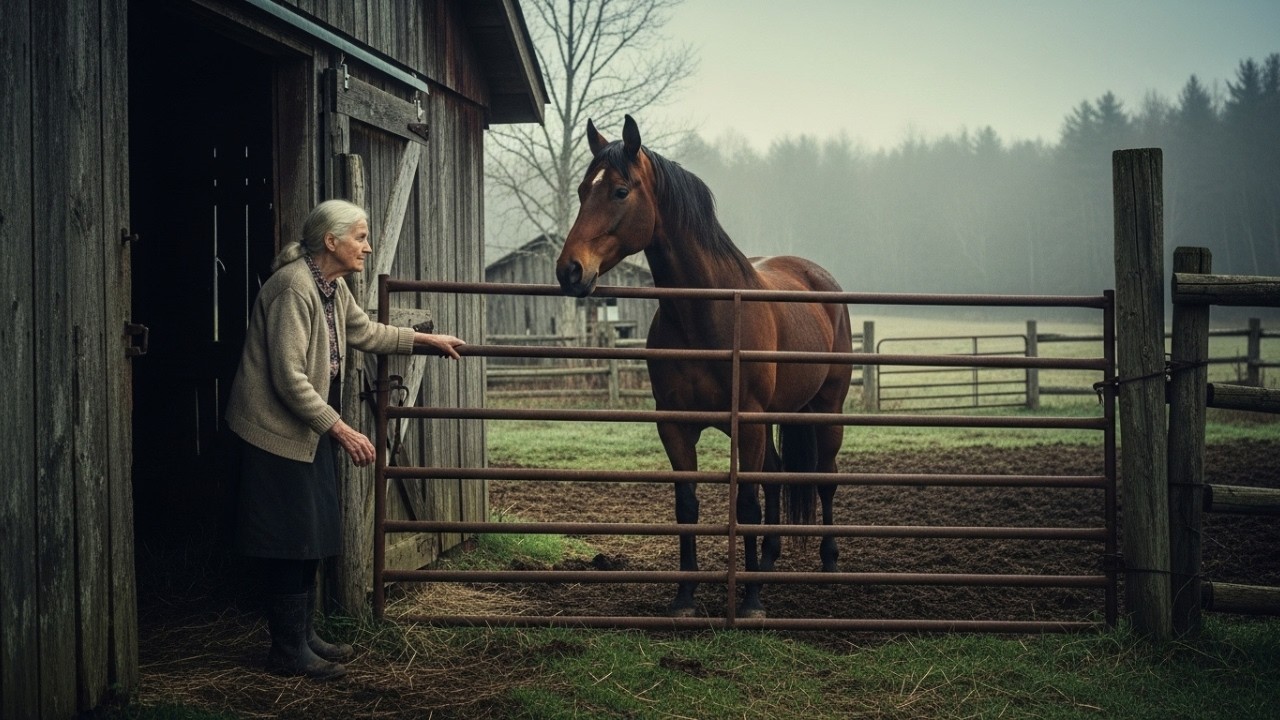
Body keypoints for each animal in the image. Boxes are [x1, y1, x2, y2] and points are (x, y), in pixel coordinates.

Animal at [555, 115, 852, 619]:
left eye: (619, 191)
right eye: (580, 190)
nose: (569, 271)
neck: (707, 314)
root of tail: (820, 279)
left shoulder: (747, 422)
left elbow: (745, 505)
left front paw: (750, 602)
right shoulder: (676, 425)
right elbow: (688, 506)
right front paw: (685, 597)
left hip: (826, 410)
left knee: (825, 478)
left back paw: (829, 563)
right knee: (776, 477)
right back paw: (767, 561)